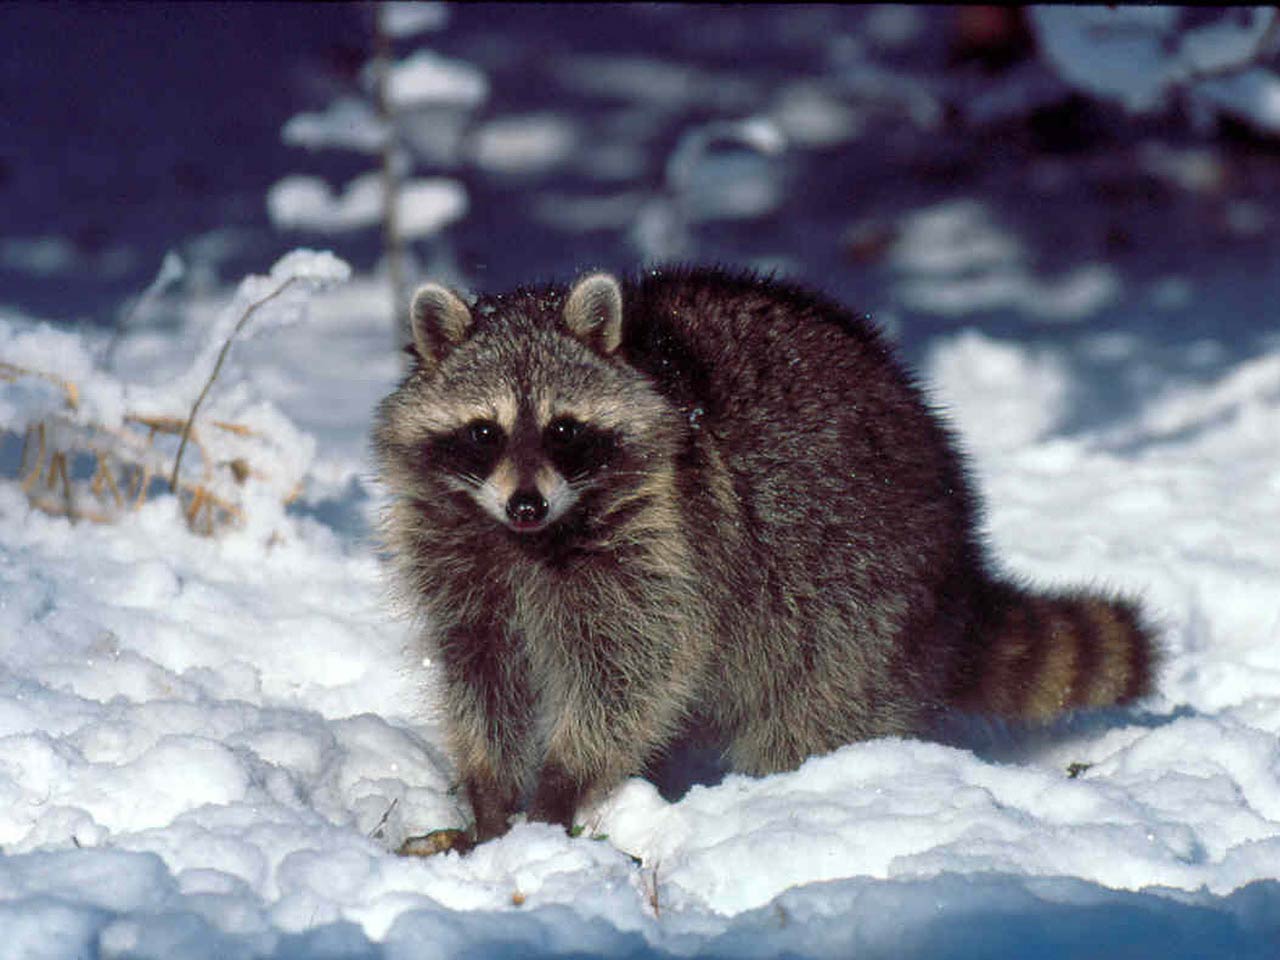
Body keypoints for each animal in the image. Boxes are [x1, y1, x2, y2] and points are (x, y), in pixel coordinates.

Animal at [372, 266, 1156, 844]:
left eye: (565, 430)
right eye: (485, 432)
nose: (527, 504)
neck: (530, 541)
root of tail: (958, 557)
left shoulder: (667, 539)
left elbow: (635, 668)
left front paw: (562, 783)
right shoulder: (458, 556)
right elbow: (479, 669)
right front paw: (488, 792)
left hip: (860, 604)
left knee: (809, 716)